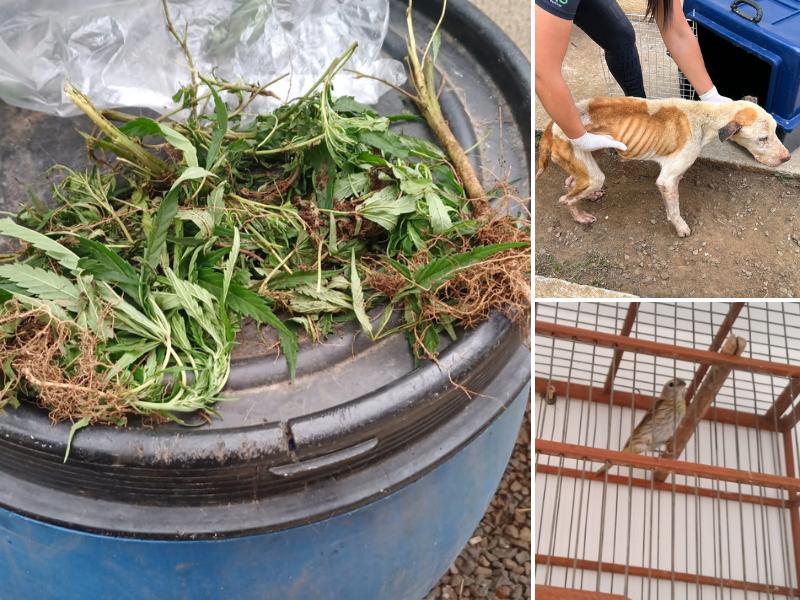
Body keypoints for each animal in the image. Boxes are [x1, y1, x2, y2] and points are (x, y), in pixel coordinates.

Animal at [536, 98, 792, 237]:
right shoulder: (666, 181)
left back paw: (589, 197)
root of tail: (550, 128)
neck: (704, 117)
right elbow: (674, 209)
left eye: (776, 130)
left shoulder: (673, 175)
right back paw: (580, 217)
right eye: (762, 138)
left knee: (569, 183)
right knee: (564, 199)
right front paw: (680, 228)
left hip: (589, 160)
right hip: (592, 173)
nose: (787, 157)